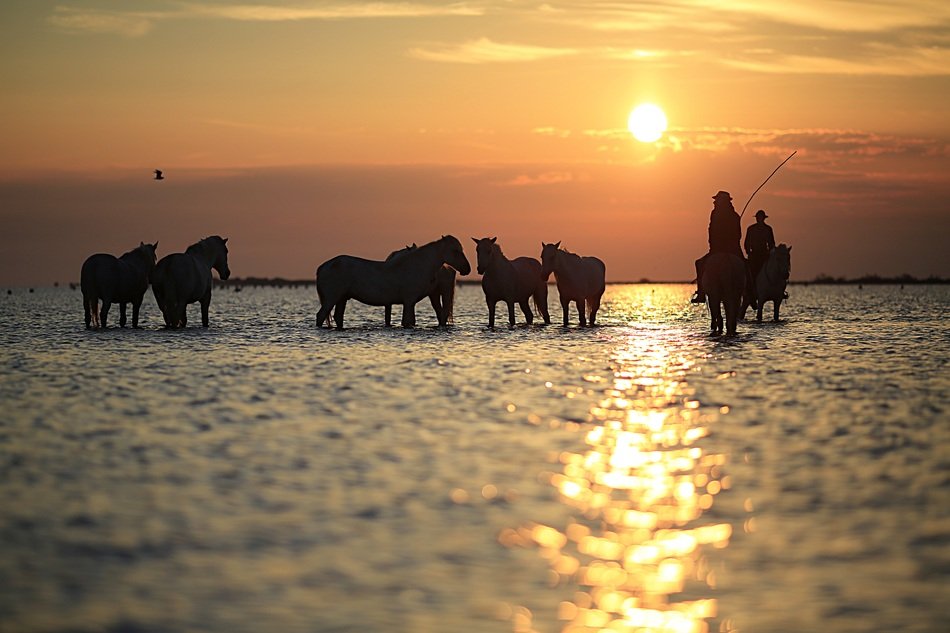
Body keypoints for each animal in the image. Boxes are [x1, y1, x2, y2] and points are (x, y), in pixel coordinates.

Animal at [316, 235, 471, 329]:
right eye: (455, 250)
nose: (467, 269)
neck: (416, 265)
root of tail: (323, 266)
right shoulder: (409, 302)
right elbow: (407, 321)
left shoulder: (409, 303)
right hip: (331, 299)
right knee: (321, 315)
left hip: (342, 298)